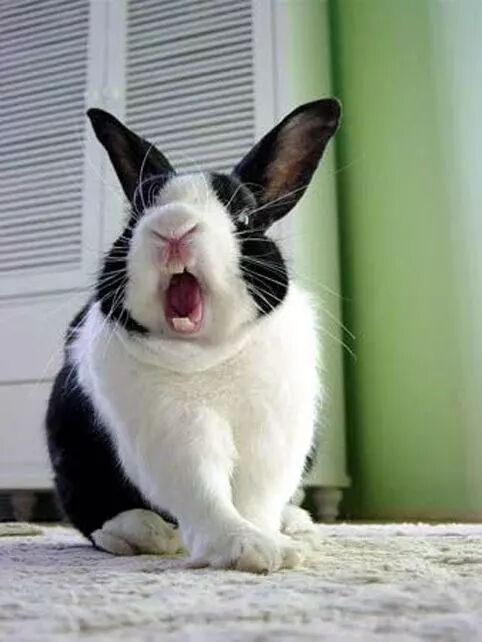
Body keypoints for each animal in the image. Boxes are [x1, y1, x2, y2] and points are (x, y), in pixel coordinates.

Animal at [45, 98, 341, 572]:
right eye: (137, 217)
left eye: (242, 216)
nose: (174, 227)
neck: (208, 354)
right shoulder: (175, 432)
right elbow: (203, 491)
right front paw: (247, 548)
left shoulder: (272, 435)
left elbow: (256, 498)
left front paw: (273, 543)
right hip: (70, 451)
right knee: (88, 512)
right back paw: (140, 532)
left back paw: (296, 523)